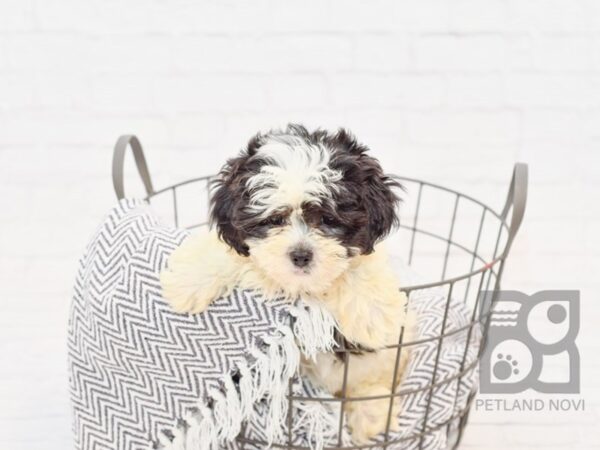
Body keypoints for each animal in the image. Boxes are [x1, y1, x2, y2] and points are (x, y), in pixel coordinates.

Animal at [159, 124, 412, 442]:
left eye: (329, 219)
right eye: (274, 220)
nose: (301, 255)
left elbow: (358, 269)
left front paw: (374, 316)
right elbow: (231, 254)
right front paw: (187, 281)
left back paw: (372, 413)